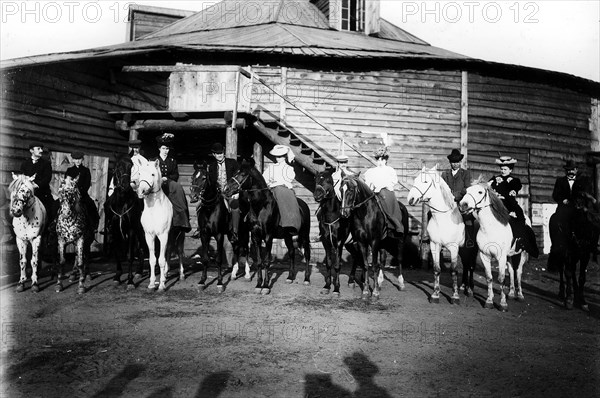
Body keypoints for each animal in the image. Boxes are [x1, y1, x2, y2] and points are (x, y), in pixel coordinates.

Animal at [224, 159, 312, 296]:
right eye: (235, 173)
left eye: (243, 174)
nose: (226, 189)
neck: (260, 206)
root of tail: (304, 205)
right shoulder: (255, 237)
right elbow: (260, 262)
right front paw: (258, 285)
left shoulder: (268, 237)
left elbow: (266, 261)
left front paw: (265, 286)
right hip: (287, 236)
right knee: (292, 253)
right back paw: (290, 277)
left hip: (304, 234)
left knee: (307, 254)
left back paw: (306, 279)